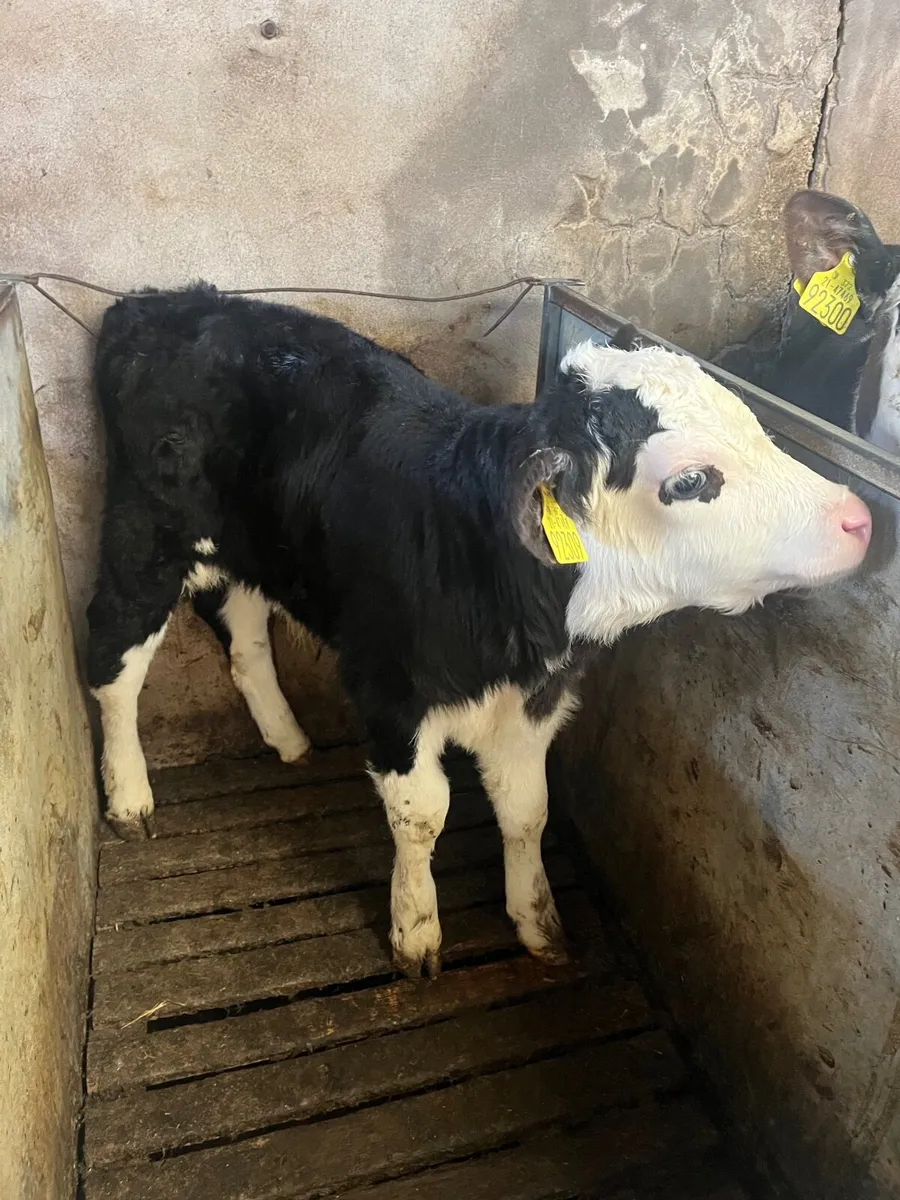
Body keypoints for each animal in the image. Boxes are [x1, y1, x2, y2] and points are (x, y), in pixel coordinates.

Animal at [87, 285, 871, 977]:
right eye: (689, 481)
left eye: (755, 426)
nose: (859, 518)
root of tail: (157, 303)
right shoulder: (388, 690)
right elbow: (422, 813)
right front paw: (415, 931)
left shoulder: (532, 704)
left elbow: (527, 810)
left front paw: (539, 923)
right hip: (142, 537)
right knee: (111, 664)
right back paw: (129, 798)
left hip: (257, 550)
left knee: (246, 641)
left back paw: (289, 740)